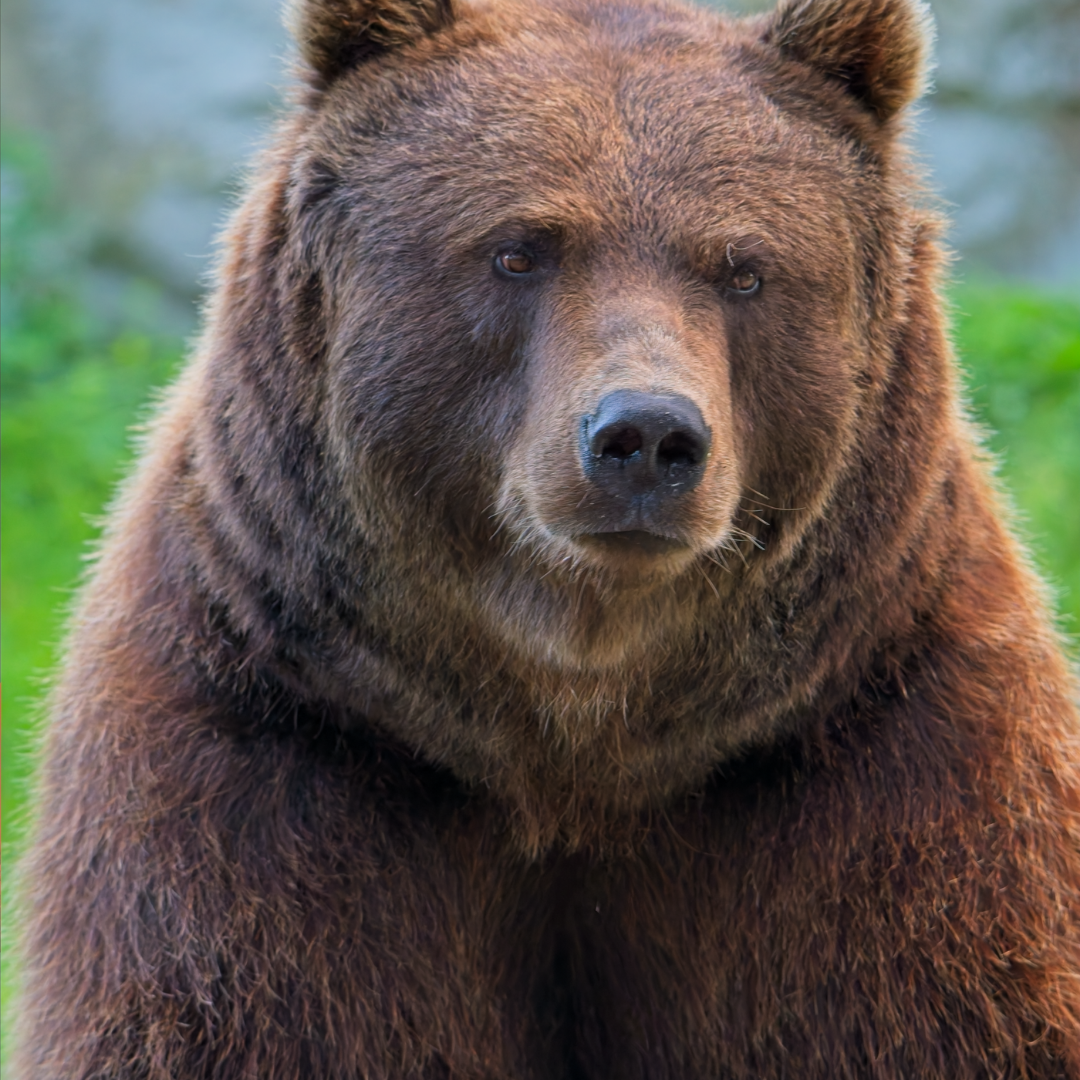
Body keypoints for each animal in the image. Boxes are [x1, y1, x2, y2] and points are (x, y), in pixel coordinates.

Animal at [13, 0, 1080, 1075]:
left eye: (744, 269)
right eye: (518, 249)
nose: (645, 437)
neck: (571, 743)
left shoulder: (902, 782)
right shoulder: (262, 763)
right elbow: (229, 1003)